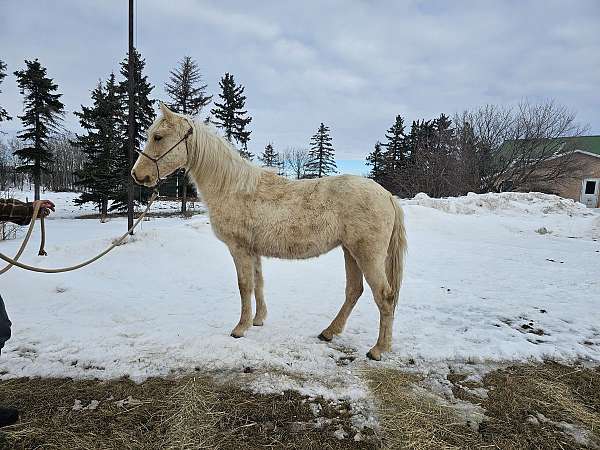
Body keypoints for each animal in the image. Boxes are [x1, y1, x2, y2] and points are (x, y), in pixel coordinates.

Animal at [131, 103, 408, 360]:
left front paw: (240, 328)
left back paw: (378, 349)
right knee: (354, 291)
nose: (137, 175)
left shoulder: (239, 249)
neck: (231, 187)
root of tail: (387, 195)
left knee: (384, 296)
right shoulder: (253, 251)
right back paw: (329, 332)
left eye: (158, 137)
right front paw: (258, 319)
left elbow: (244, 286)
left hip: (367, 255)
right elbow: (258, 283)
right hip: (350, 252)